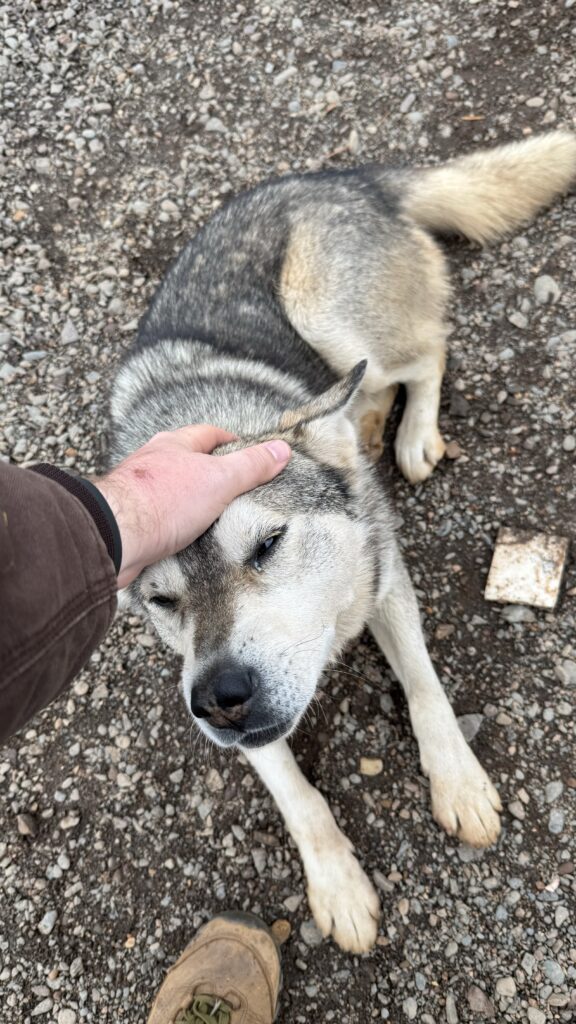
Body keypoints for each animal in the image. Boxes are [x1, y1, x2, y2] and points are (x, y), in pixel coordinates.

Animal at [111, 134, 573, 950]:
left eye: (267, 544)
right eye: (164, 600)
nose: (218, 700)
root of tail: (348, 180)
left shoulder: (384, 577)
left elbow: (424, 688)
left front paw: (458, 782)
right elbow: (297, 796)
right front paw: (338, 886)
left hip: (332, 316)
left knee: (429, 351)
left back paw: (409, 435)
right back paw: (367, 426)